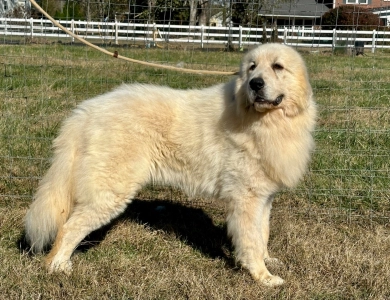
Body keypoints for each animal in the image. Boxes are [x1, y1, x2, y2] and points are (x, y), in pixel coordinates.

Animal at [24, 42, 316, 286]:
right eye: (252, 68)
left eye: (277, 67)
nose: (255, 84)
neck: (266, 120)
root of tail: (87, 110)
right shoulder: (246, 199)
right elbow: (251, 241)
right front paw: (262, 276)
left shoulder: (263, 198)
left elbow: (262, 234)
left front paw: (268, 261)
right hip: (109, 194)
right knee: (68, 228)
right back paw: (57, 267)